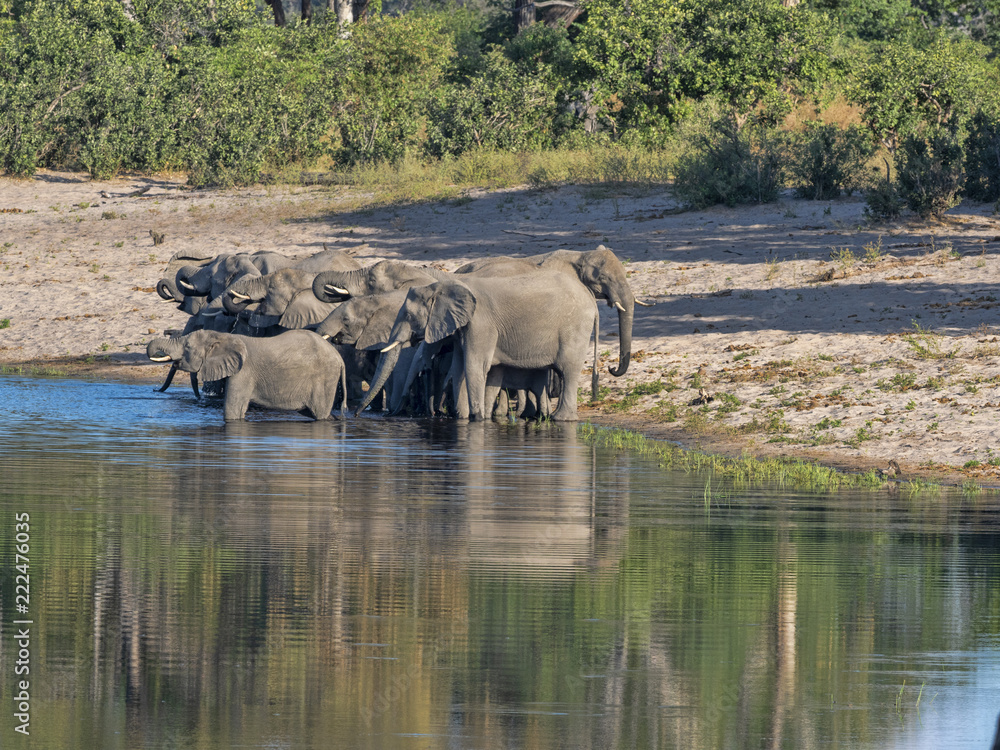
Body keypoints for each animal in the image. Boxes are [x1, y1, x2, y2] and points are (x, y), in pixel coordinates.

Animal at [147, 329, 348, 421]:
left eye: (187, 347)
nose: (154, 390)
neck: (223, 336)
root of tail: (340, 358)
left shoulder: (243, 373)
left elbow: (233, 410)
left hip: (325, 378)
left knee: (320, 413)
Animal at [365, 270, 597, 421]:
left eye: (409, 316)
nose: (359, 413)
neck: (443, 285)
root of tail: (592, 299)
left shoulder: (481, 323)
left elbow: (474, 366)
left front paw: (477, 418)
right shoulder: (463, 327)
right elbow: (459, 367)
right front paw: (463, 417)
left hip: (575, 328)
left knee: (568, 371)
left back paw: (562, 419)